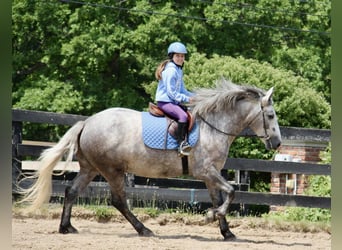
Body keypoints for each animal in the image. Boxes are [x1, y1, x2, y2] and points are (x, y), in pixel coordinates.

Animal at [17, 79, 282, 240]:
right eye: (270, 115)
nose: (278, 143)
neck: (213, 127)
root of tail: (87, 122)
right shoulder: (205, 171)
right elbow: (232, 192)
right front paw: (211, 216)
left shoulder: (211, 175)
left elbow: (221, 197)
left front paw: (225, 231)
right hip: (112, 170)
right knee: (118, 201)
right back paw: (144, 229)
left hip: (90, 168)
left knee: (71, 191)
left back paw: (66, 227)